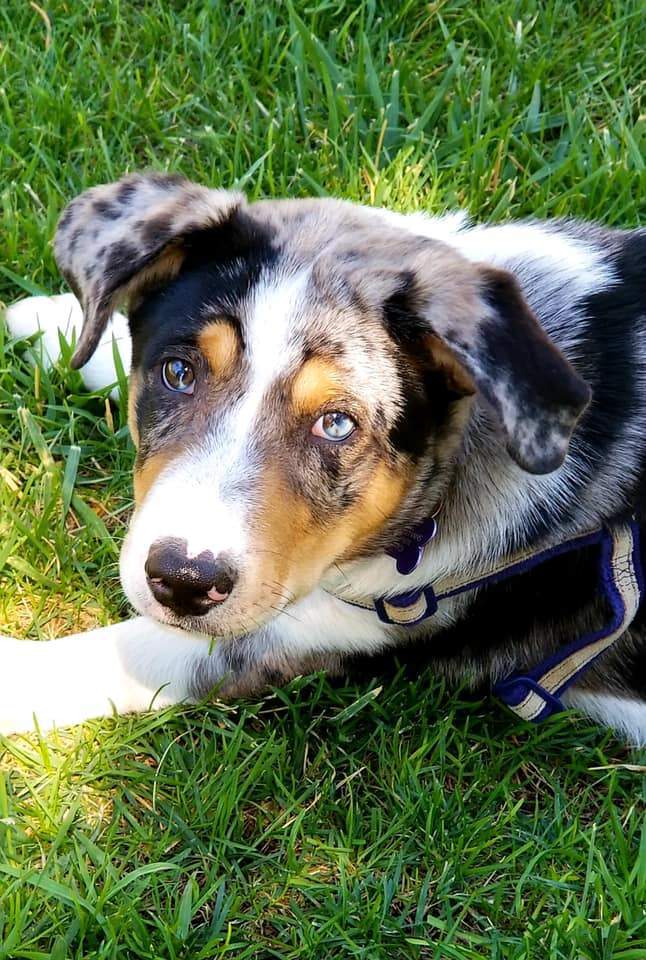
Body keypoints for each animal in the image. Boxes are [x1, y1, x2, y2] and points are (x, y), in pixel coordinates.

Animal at [1, 172, 646, 744]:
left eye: (336, 424)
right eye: (178, 372)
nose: (183, 580)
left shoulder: (328, 627)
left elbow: (120, 651)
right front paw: (52, 324)